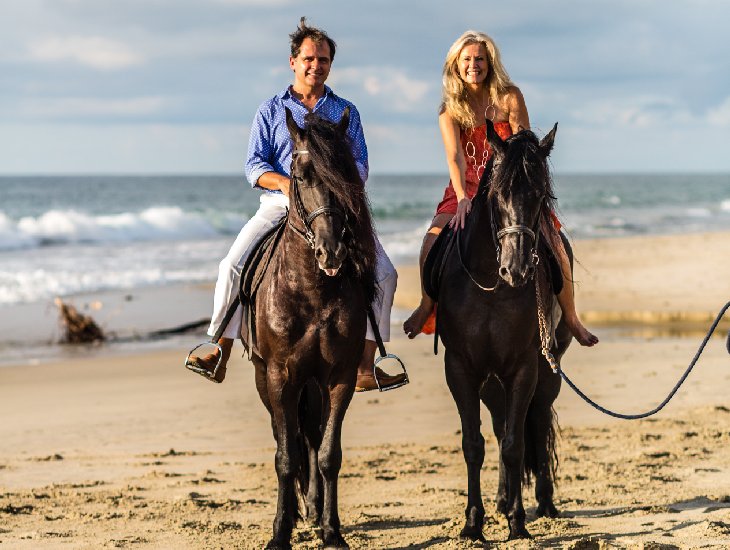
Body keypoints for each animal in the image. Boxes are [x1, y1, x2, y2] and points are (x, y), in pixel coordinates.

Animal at [250, 105, 376, 548]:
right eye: (301, 176)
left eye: (345, 174)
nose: (332, 251)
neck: (310, 289)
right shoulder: (279, 376)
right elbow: (286, 457)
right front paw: (279, 532)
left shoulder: (339, 378)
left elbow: (327, 454)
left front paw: (331, 529)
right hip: (266, 380)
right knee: (285, 437)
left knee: (312, 436)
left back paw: (315, 509)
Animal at [436, 118, 572, 540]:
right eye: (498, 193)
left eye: (541, 194)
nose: (517, 268)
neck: (490, 284)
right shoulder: (460, 368)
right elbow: (474, 444)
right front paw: (473, 523)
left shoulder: (523, 368)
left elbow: (515, 444)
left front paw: (517, 523)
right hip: (491, 381)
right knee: (498, 427)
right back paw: (499, 499)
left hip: (547, 370)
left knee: (538, 421)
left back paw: (544, 502)